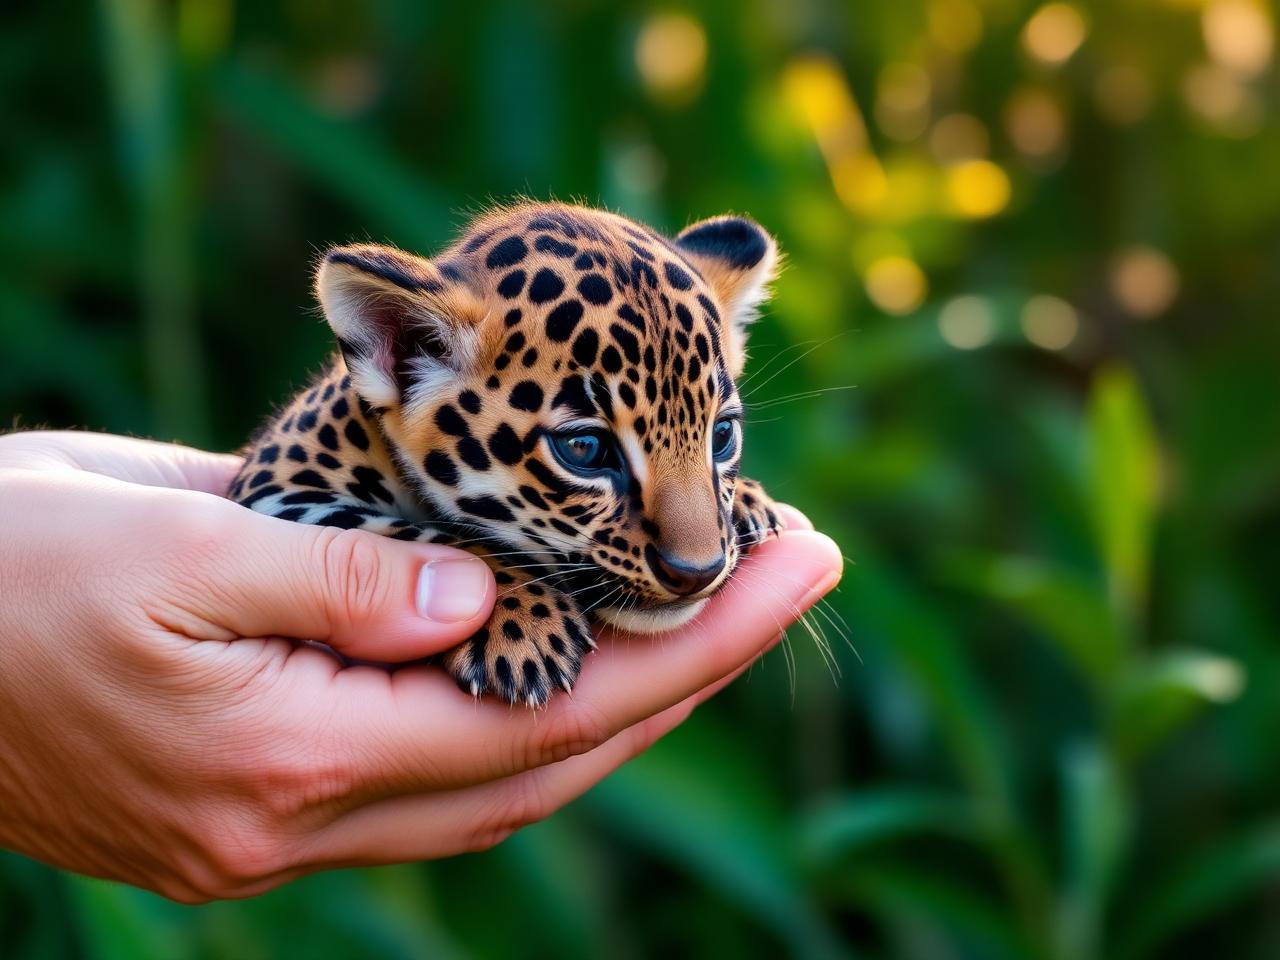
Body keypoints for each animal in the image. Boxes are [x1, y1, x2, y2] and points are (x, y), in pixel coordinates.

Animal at [229, 201, 783, 706]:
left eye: (722, 435)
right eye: (585, 449)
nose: (698, 572)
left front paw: (750, 504)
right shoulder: (274, 491)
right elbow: (419, 533)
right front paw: (523, 627)